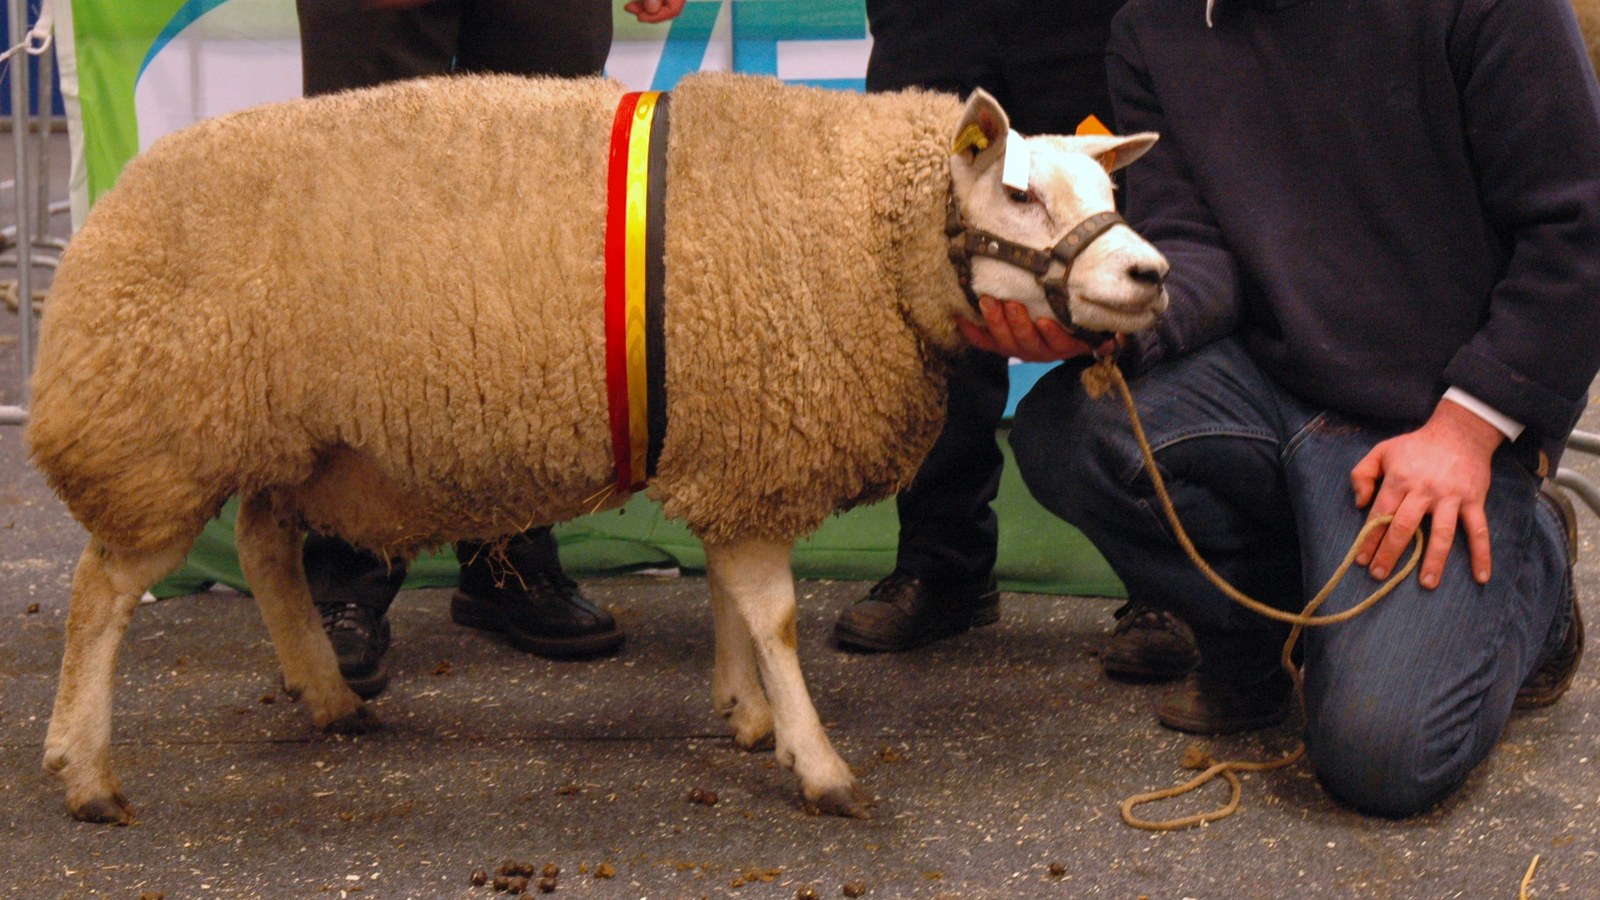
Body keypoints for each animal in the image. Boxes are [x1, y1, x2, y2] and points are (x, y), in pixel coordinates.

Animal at [26, 71, 1168, 825]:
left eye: (1110, 196)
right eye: (1017, 192)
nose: (1149, 275)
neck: (865, 228)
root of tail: (111, 208)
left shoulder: (728, 435)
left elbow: (730, 595)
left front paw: (745, 713)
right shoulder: (753, 432)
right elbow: (775, 614)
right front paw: (817, 762)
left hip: (286, 439)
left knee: (264, 550)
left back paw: (328, 695)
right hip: (157, 435)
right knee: (102, 592)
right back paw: (85, 770)